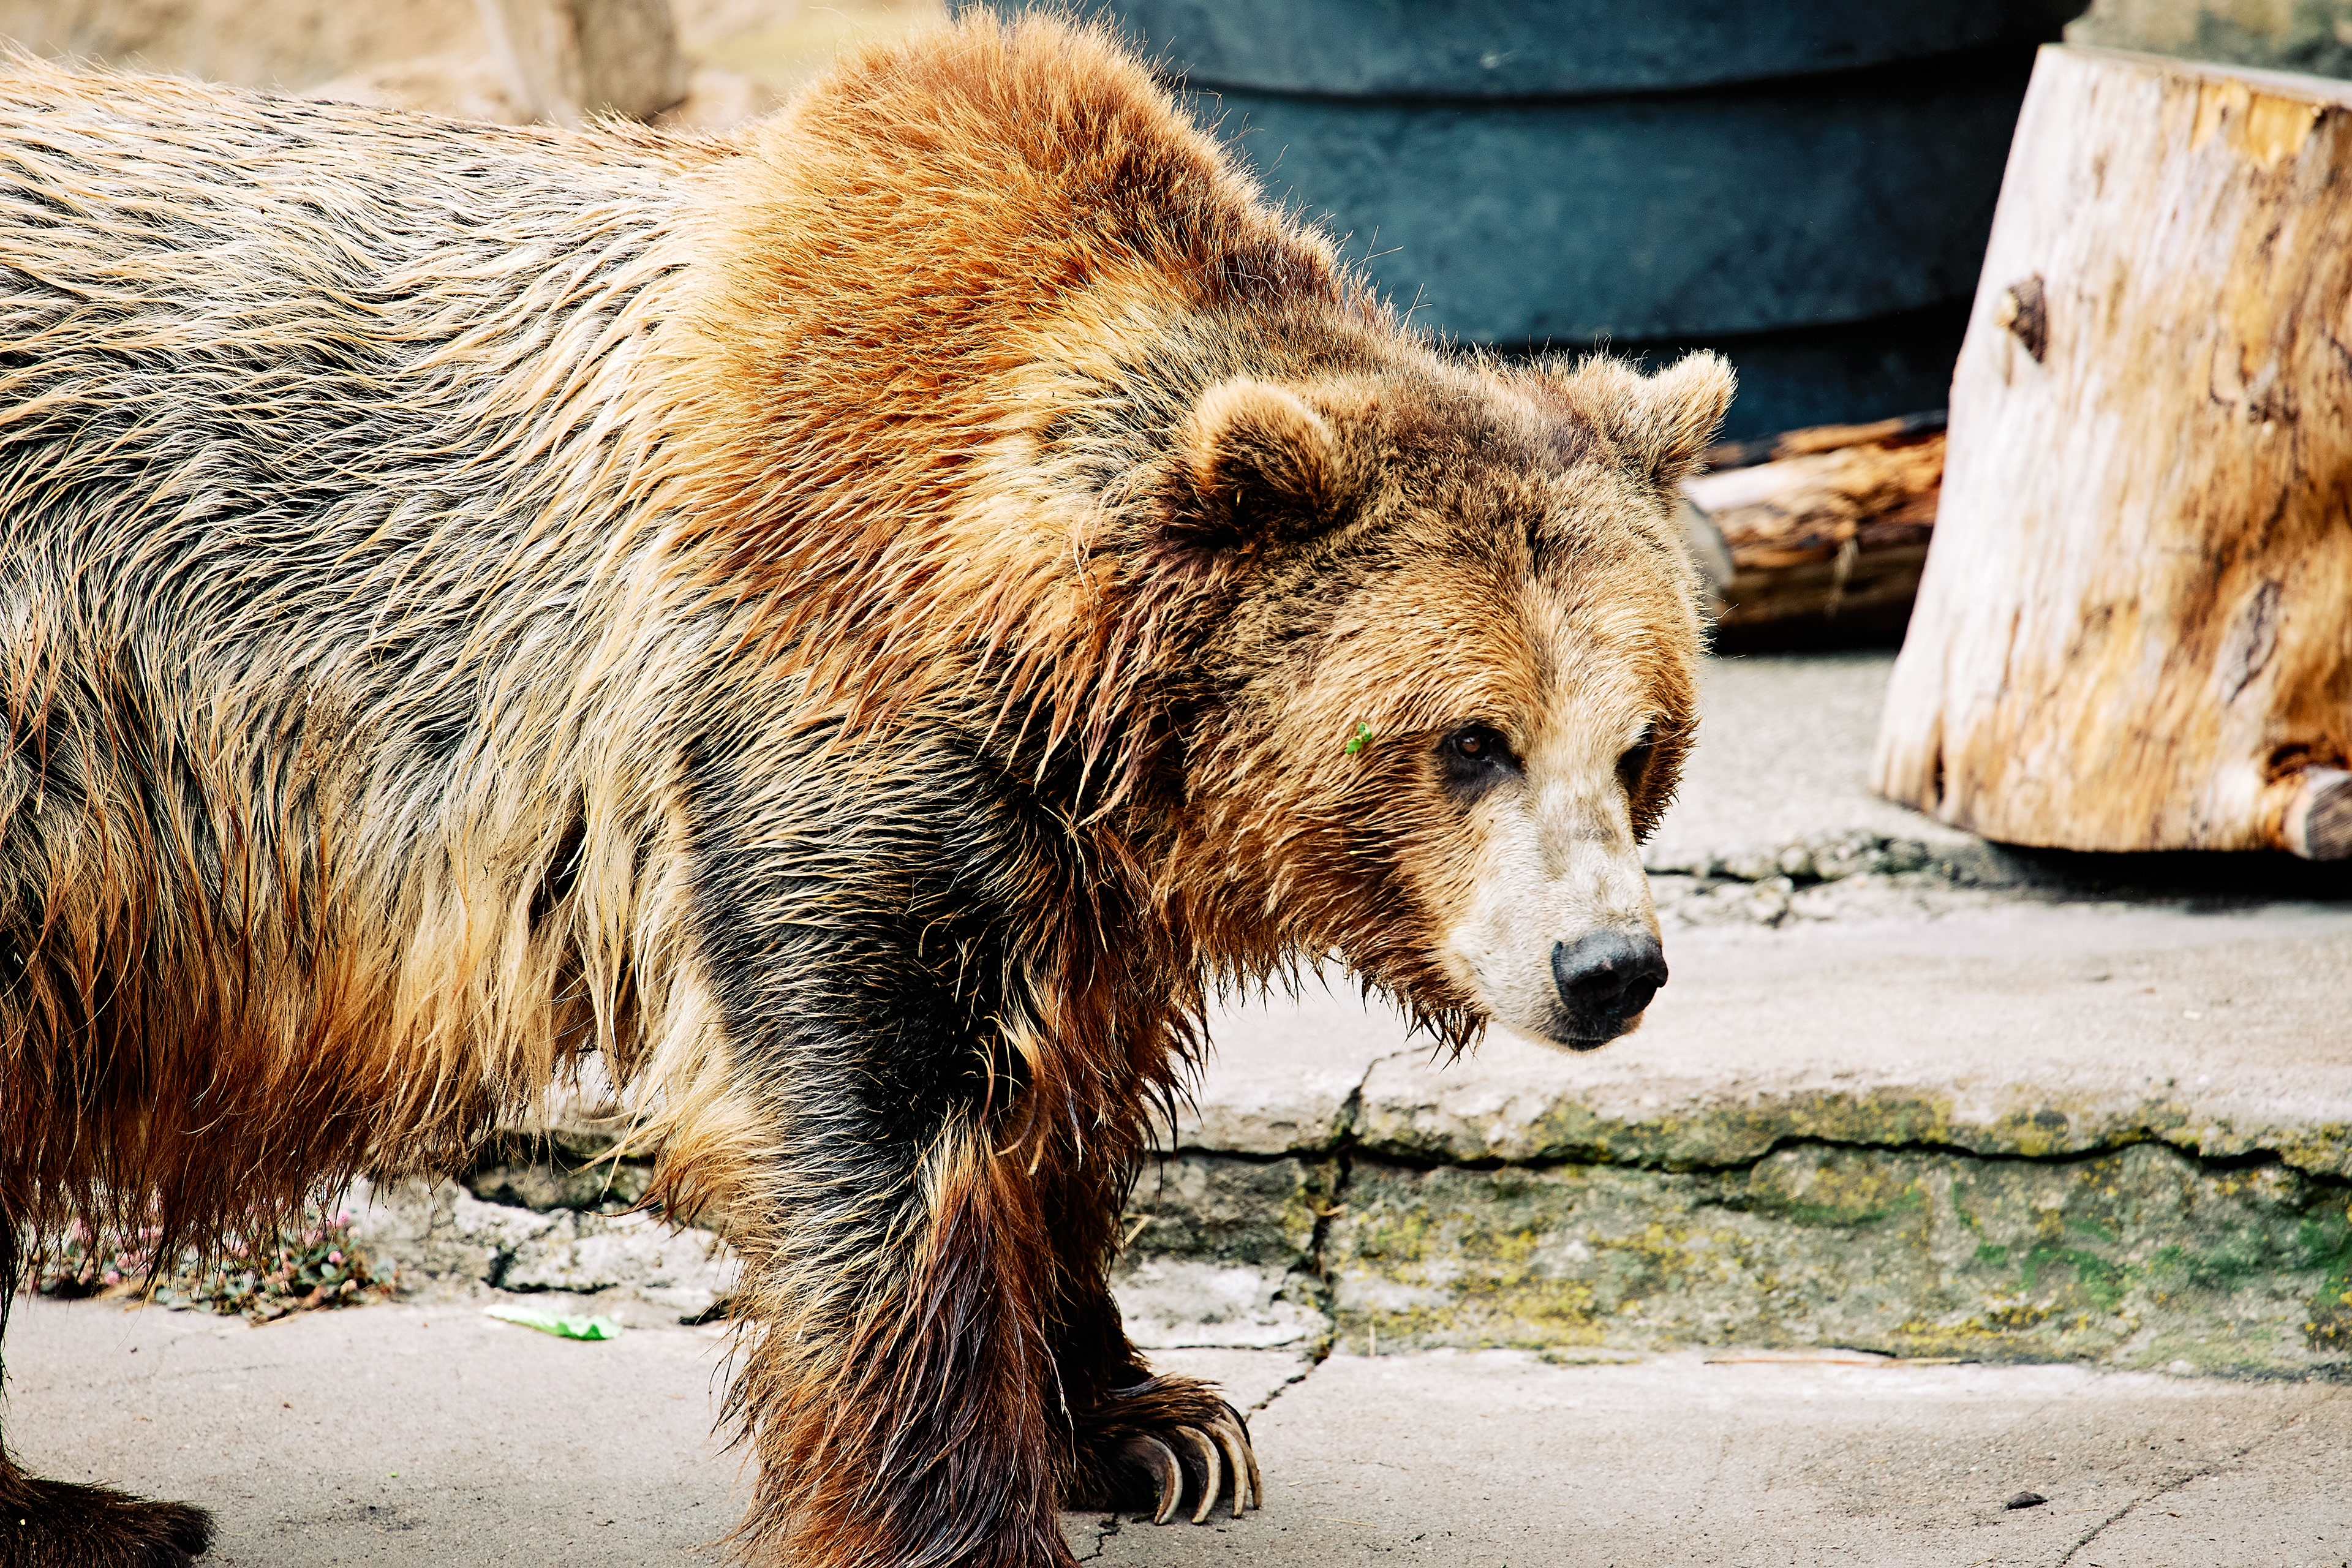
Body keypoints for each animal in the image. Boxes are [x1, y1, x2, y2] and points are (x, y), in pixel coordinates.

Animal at [0, 13, 1730, 1567]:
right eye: (1471, 737)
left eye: (1640, 740)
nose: (1608, 967)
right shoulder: (813, 708)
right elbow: (880, 1127)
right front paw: (967, 1517)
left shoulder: (1082, 878)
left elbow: (1056, 1109)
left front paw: (1154, 1421)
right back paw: (87, 1510)